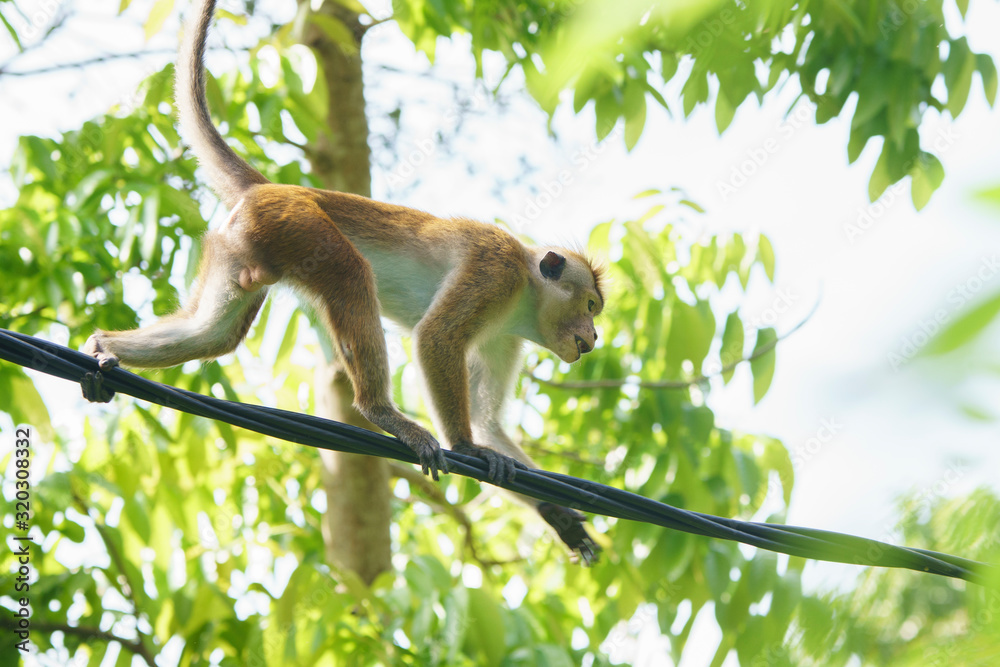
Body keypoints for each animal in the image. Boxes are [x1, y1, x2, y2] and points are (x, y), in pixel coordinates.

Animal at [81, 0, 605, 563]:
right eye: (590, 306)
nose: (594, 337)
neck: (525, 292)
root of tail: (273, 188)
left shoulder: (507, 336)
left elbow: (490, 418)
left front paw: (555, 513)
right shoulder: (496, 270)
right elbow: (437, 338)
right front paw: (467, 447)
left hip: (241, 245)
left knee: (211, 334)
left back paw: (104, 352)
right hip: (298, 225)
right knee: (352, 273)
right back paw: (383, 412)